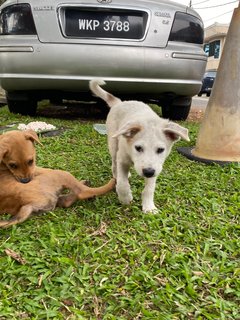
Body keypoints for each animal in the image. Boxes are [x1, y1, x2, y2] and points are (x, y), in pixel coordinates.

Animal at [90, 80, 189, 214]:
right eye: (138, 148)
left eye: (160, 150)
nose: (148, 172)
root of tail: (120, 102)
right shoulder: (122, 160)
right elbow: (122, 183)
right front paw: (125, 198)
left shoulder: (156, 167)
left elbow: (149, 188)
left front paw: (149, 207)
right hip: (113, 144)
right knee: (114, 164)